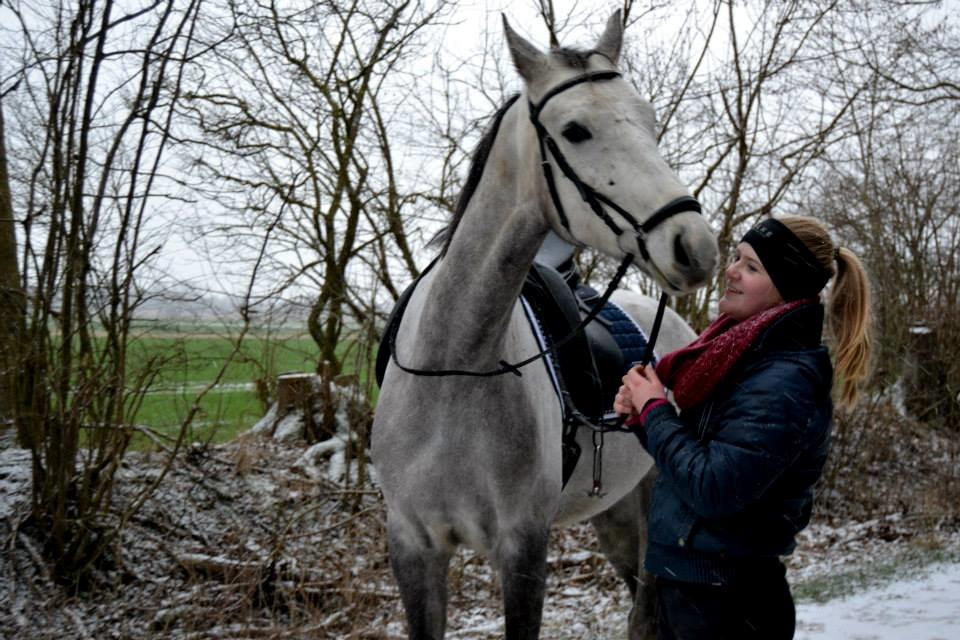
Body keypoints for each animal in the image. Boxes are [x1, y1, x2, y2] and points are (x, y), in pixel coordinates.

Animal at [372, 11, 716, 640]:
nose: (694, 246)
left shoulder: (523, 548)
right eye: (575, 130)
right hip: (616, 514)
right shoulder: (413, 547)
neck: (454, 369)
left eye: (650, 122)